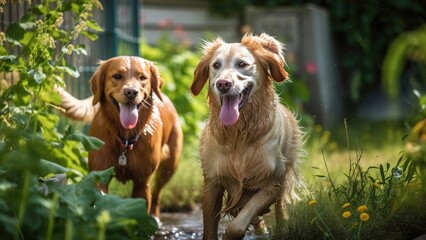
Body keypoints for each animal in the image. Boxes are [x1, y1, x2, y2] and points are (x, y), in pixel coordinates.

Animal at [57, 56, 181, 218]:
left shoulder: (142, 182)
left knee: (157, 193)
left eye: (142, 78)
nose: (131, 92)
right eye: (117, 76)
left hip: (170, 165)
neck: (125, 138)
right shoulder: (99, 175)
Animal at [190, 33, 302, 238]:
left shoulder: (270, 184)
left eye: (242, 64)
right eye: (216, 65)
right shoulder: (212, 183)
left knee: (280, 211)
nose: (223, 84)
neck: (238, 135)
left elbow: (238, 225)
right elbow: (209, 228)